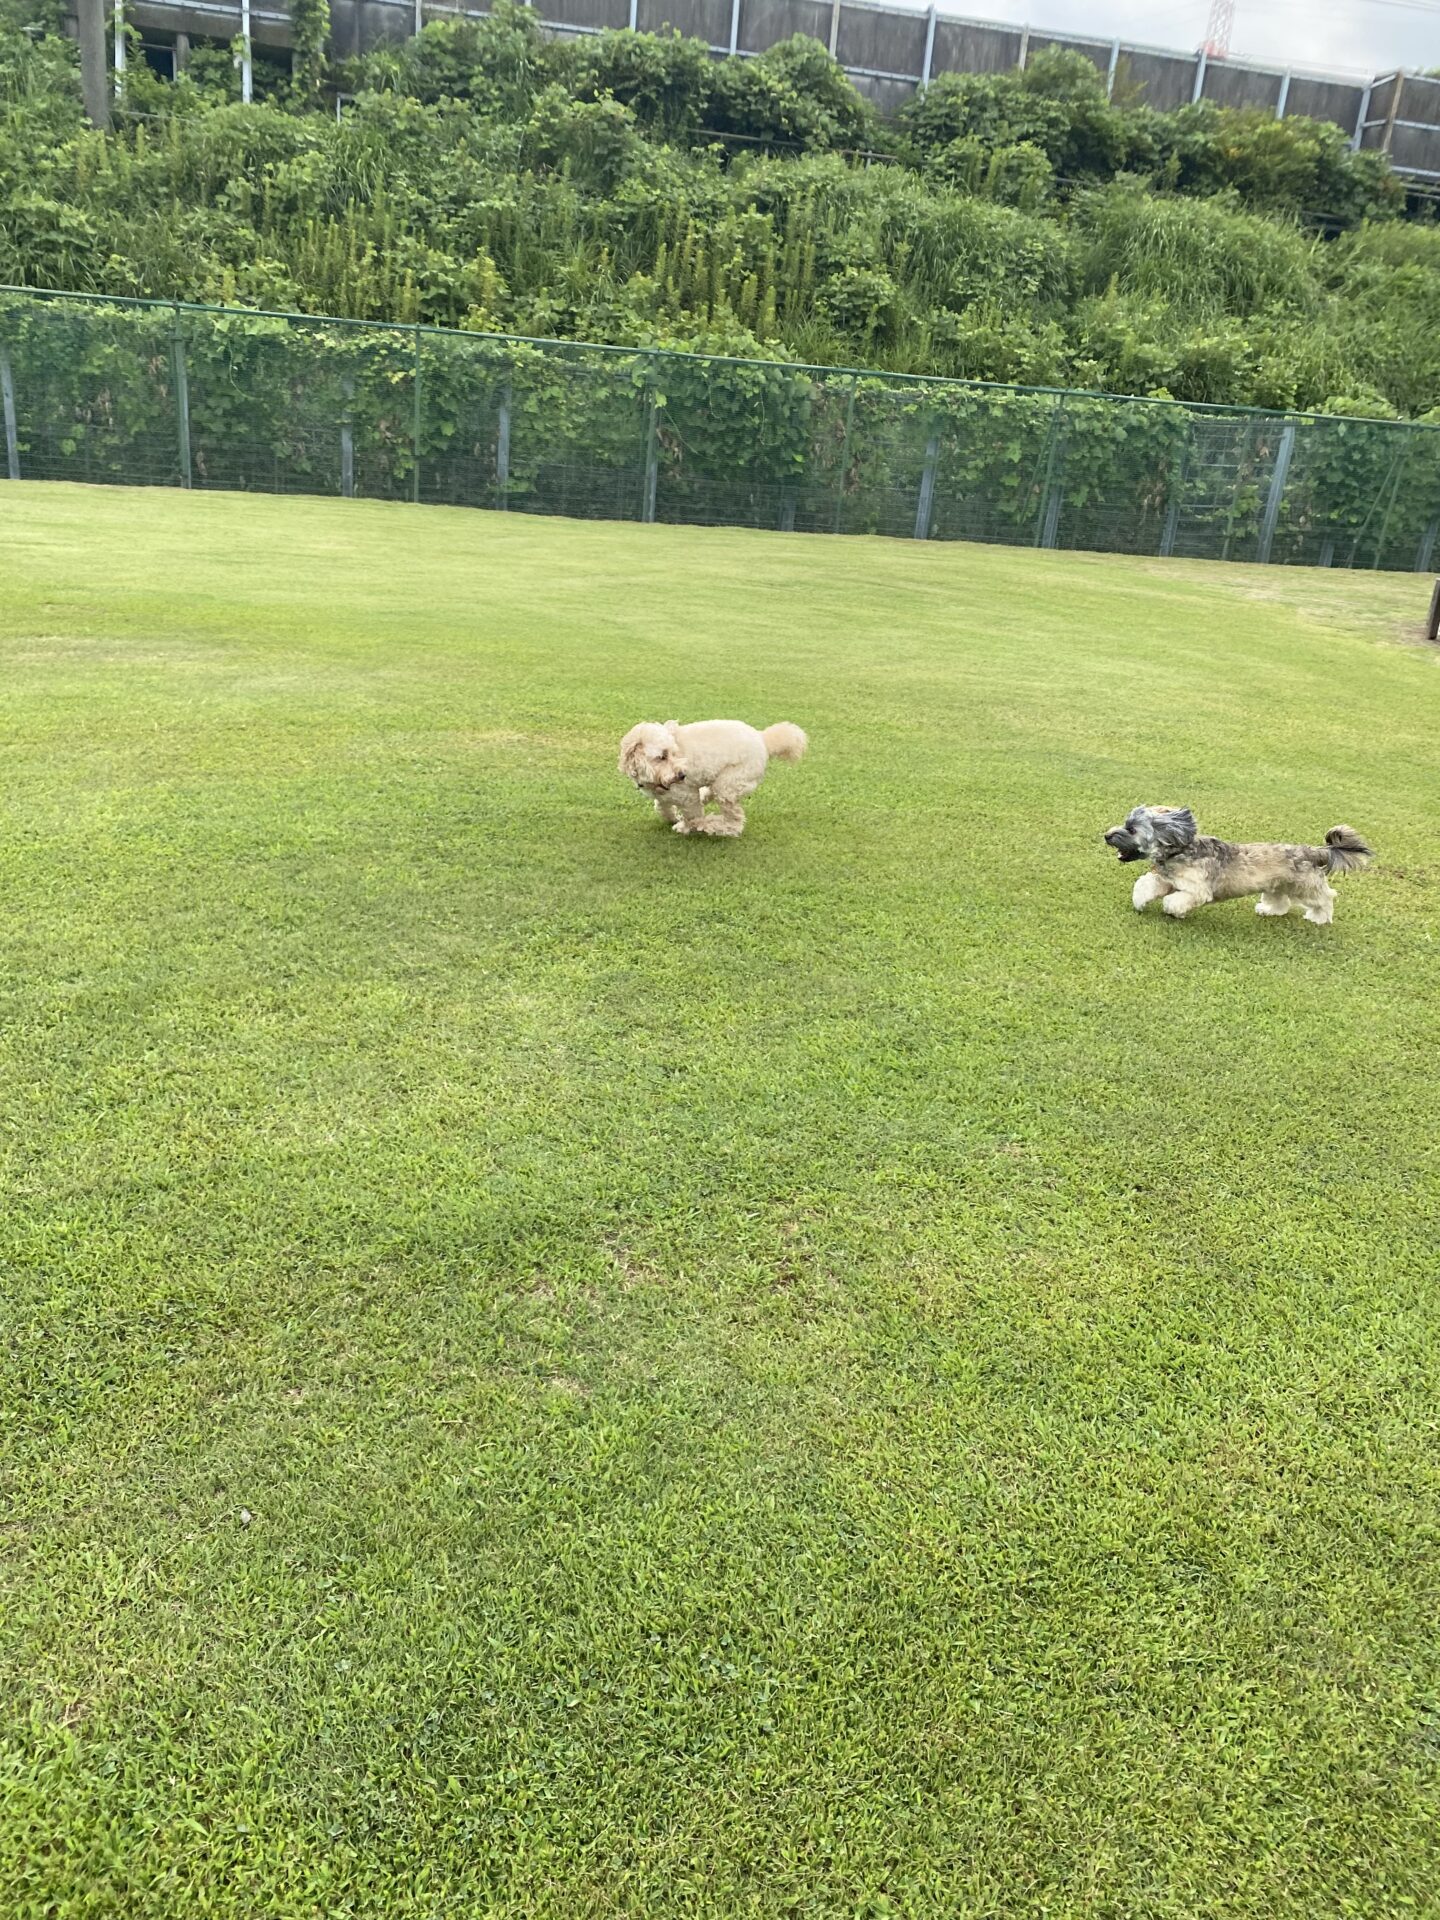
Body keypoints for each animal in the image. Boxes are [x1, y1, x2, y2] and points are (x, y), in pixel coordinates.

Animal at [618, 719, 808, 838]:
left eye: (673, 753)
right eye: (662, 756)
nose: (682, 775)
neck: (656, 784)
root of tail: (764, 739)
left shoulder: (687, 796)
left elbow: (693, 817)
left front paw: (684, 826)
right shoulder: (664, 795)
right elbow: (661, 807)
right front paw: (673, 817)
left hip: (729, 784)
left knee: (734, 823)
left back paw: (712, 825)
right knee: (711, 793)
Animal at [1103, 806, 1372, 924]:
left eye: (1131, 829)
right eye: (1126, 823)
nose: (1106, 835)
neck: (1179, 850)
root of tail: (1311, 850)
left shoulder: (1196, 889)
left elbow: (1177, 899)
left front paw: (1173, 910)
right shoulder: (1166, 879)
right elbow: (1145, 885)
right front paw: (1140, 902)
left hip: (1304, 887)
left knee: (1325, 897)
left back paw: (1319, 917)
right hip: (1276, 886)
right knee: (1281, 902)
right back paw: (1268, 911)